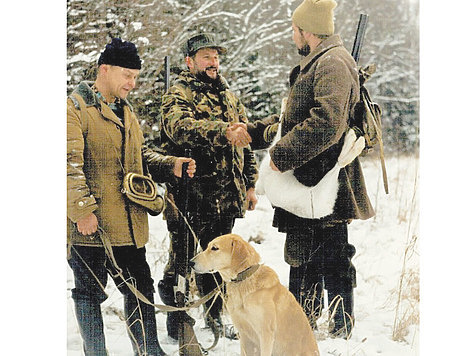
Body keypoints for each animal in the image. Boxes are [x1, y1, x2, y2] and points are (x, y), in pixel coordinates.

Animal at [192, 234, 320, 356]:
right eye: (208, 246)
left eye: (214, 248)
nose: (190, 262)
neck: (243, 279)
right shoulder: (243, 333)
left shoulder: (266, 334)